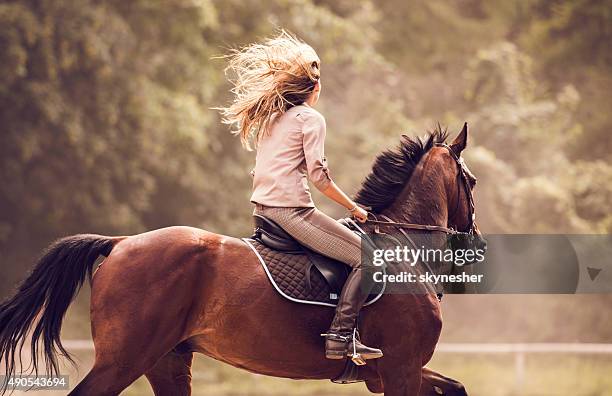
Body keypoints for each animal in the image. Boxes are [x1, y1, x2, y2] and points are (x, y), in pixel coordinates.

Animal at [0, 123, 478, 392]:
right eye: (471, 181)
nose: (475, 241)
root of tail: (120, 243)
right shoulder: (401, 368)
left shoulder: (391, 373)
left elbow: (456, 386)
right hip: (124, 360)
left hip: (167, 361)